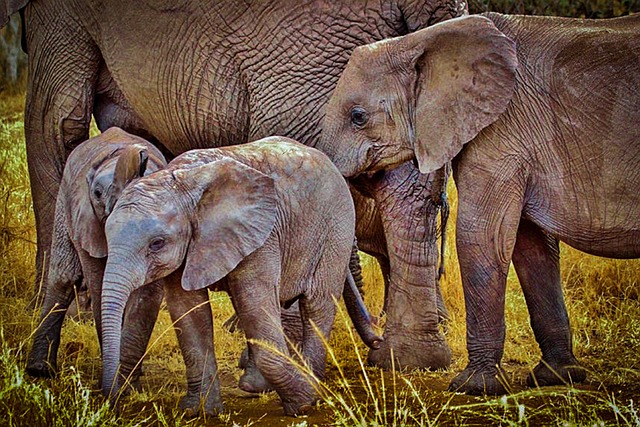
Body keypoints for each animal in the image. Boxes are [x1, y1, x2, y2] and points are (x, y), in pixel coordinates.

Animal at [27, 128, 168, 392]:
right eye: (98, 194)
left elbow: (146, 295)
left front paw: (127, 384)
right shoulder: (87, 216)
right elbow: (99, 284)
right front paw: (116, 382)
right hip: (65, 202)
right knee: (63, 276)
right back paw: (39, 370)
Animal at [102, 138, 384, 418]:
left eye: (157, 244)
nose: (112, 400)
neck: (180, 179)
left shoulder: (262, 235)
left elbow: (254, 304)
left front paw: (303, 403)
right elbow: (189, 313)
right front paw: (199, 411)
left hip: (335, 229)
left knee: (316, 304)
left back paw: (309, 384)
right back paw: (260, 386)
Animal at [318, 13, 640, 394]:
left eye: (358, 116)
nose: (378, 344)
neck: (423, 41)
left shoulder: (503, 131)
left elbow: (481, 236)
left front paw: (473, 386)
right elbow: (532, 246)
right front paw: (556, 377)